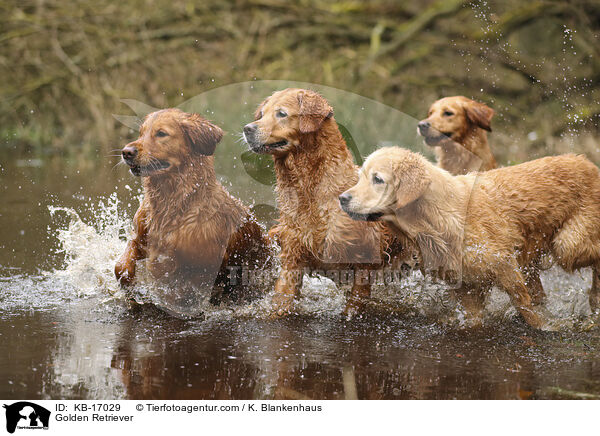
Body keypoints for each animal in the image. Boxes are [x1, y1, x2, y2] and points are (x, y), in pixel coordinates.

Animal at [114, 108, 272, 304]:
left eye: (161, 133)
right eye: (141, 133)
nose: (126, 152)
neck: (172, 203)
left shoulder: (202, 266)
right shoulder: (138, 237)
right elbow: (120, 266)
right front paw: (128, 283)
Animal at [243, 88, 408, 316]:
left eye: (281, 113)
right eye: (262, 114)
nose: (247, 129)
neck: (310, 191)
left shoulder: (363, 265)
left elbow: (353, 305)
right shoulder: (292, 257)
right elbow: (281, 300)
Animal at [340, 146, 600, 328]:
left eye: (378, 179)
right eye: (360, 177)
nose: (342, 198)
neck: (436, 219)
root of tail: (588, 163)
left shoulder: (504, 265)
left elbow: (524, 305)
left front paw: (546, 327)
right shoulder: (467, 286)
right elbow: (474, 318)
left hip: (569, 244)